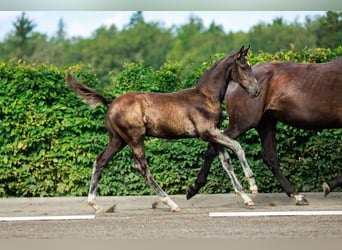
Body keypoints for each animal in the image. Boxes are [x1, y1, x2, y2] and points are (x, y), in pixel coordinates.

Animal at [66, 46, 260, 213]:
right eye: (244, 67)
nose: (256, 91)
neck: (206, 97)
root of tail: (110, 103)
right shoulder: (208, 132)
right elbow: (237, 147)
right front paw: (252, 185)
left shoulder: (213, 134)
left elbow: (225, 161)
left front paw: (245, 198)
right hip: (135, 138)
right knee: (142, 167)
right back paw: (171, 203)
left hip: (118, 140)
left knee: (100, 161)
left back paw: (94, 204)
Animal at [187, 57, 342, 206]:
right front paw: (329, 185)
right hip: (242, 124)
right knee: (213, 149)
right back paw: (195, 188)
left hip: (266, 123)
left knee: (269, 158)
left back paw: (296, 195)